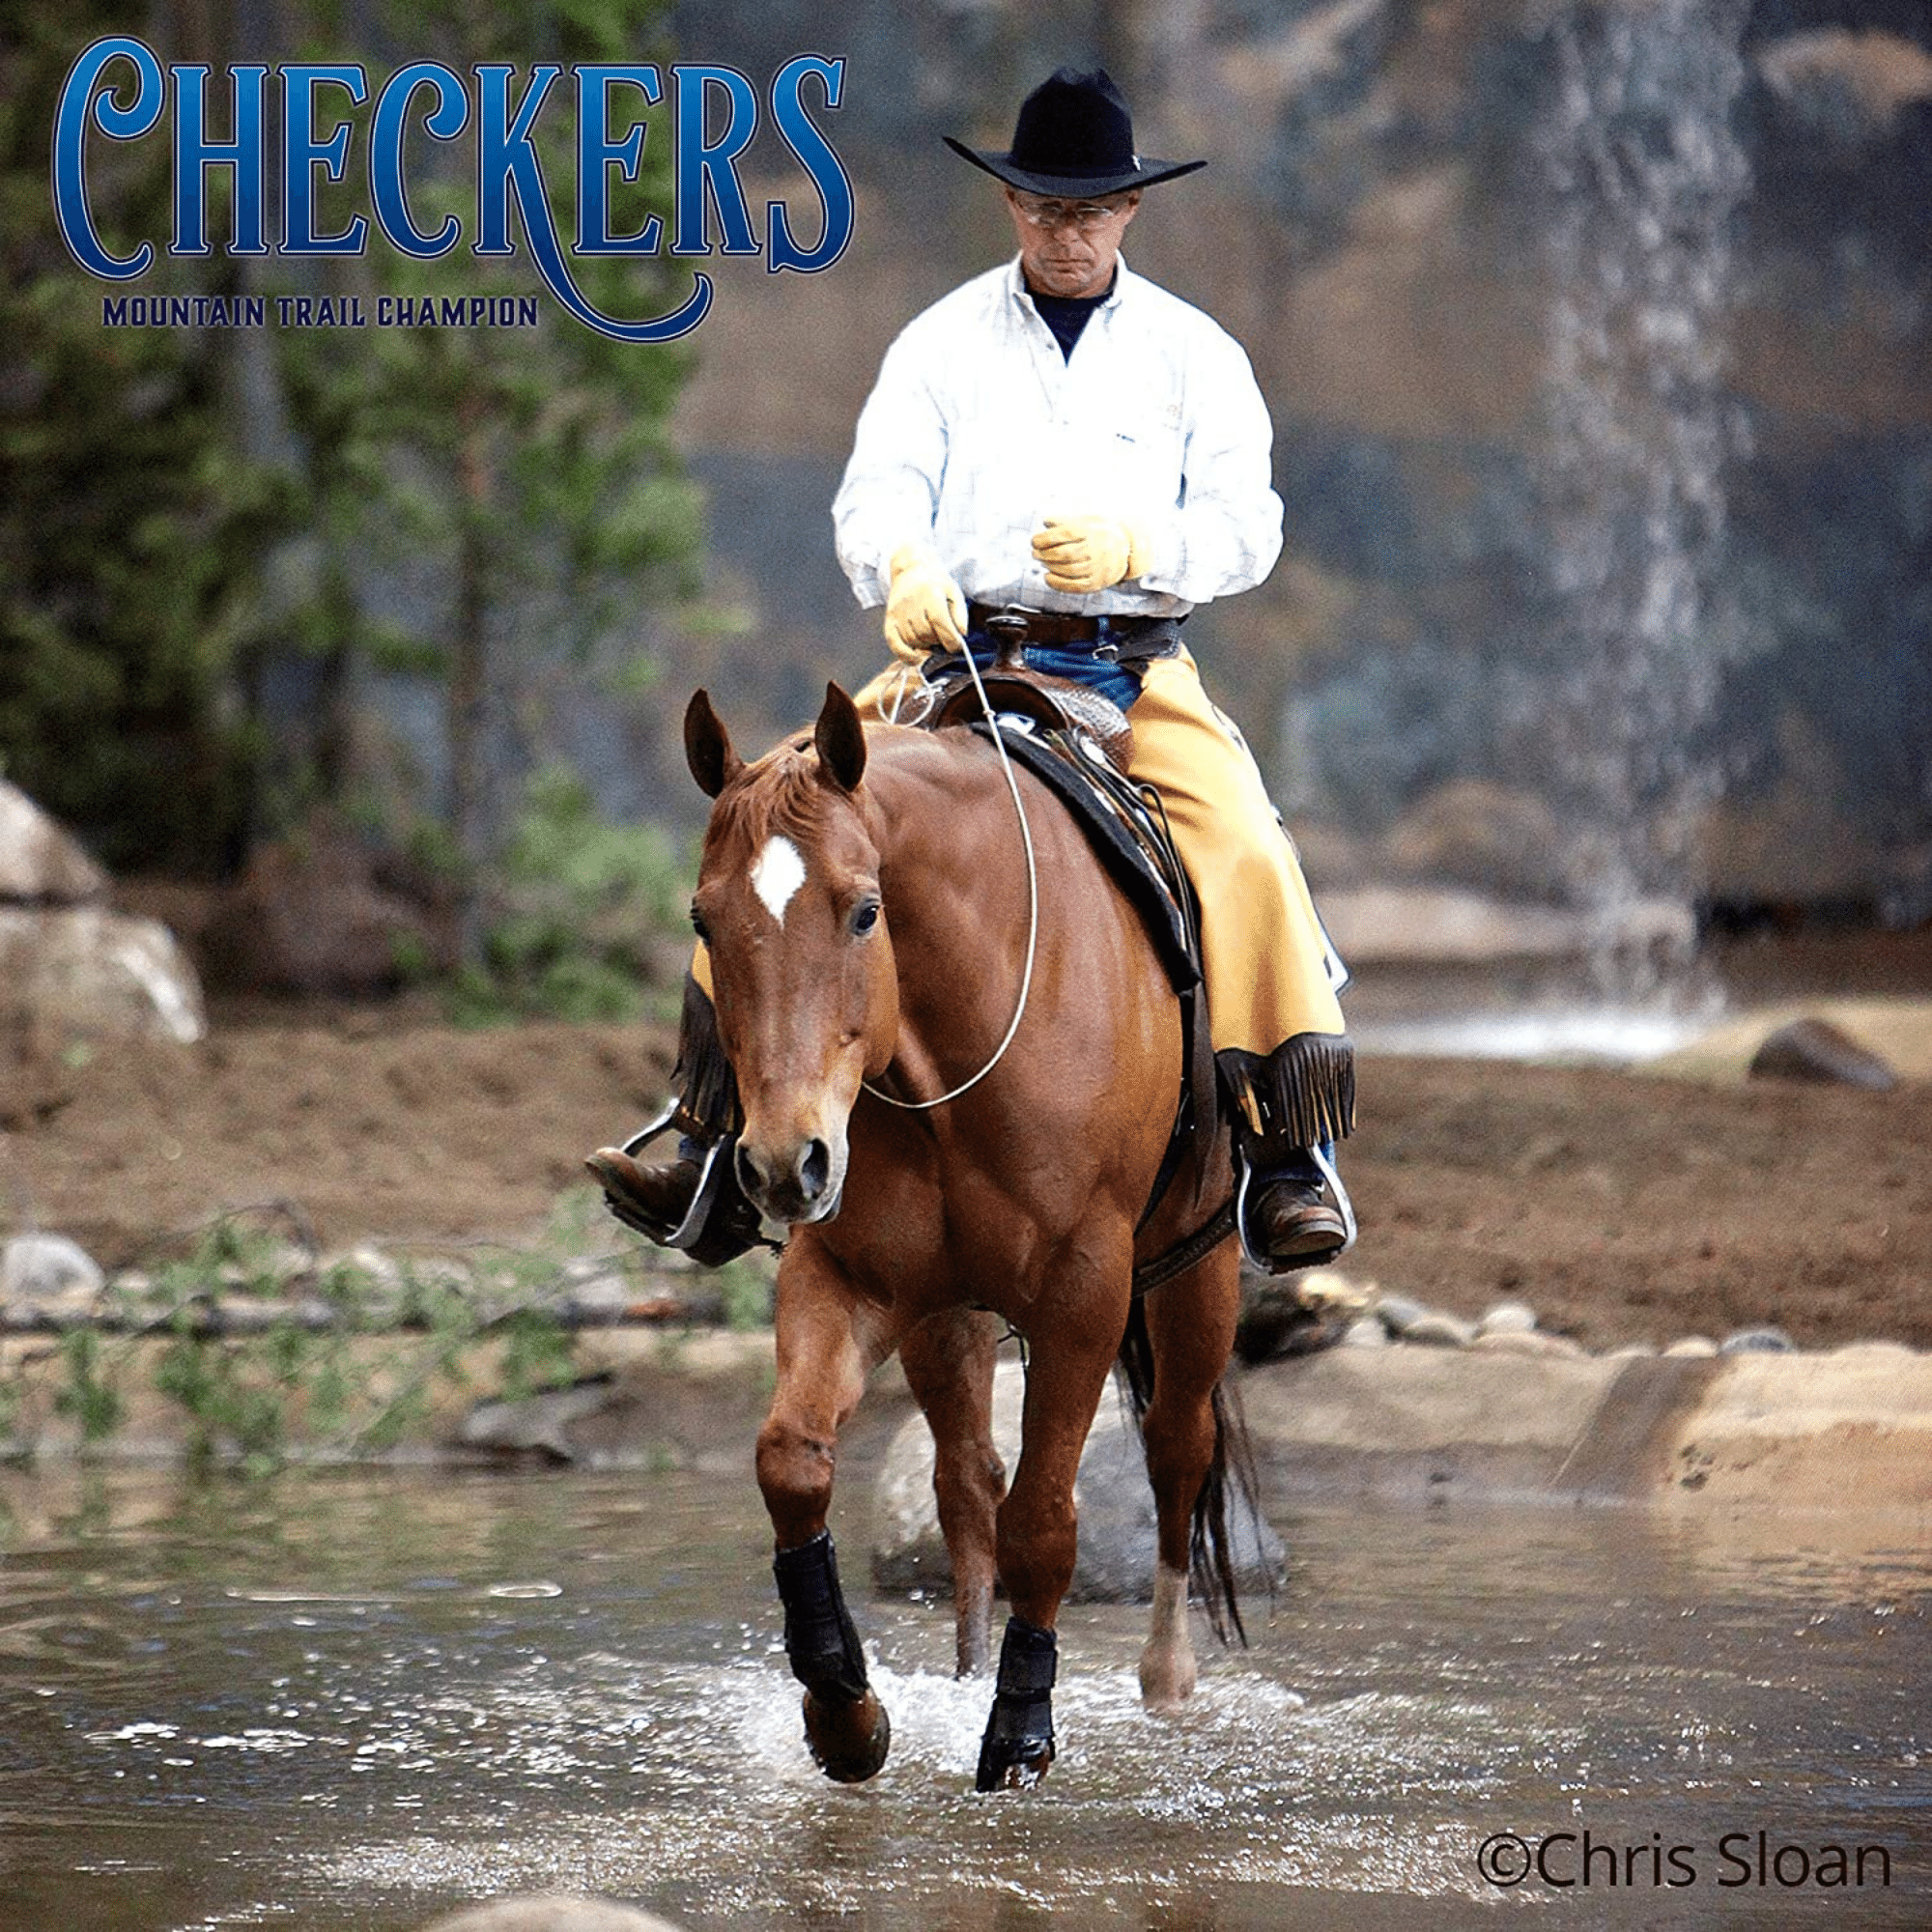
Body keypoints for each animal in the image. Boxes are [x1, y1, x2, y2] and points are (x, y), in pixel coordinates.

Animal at [678, 679, 1253, 1791]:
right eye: (703, 918)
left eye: (864, 910)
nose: (779, 1162)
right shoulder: (848, 1273)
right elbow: (793, 1461)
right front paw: (843, 1707)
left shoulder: (1085, 1294)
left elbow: (1045, 1520)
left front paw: (1021, 1728)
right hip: (944, 1312)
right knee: (964, 1483)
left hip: (1197, 1269)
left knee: (1175, 1449)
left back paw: (1165, 1678)